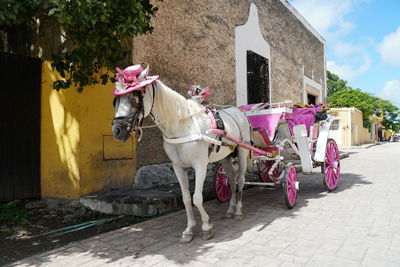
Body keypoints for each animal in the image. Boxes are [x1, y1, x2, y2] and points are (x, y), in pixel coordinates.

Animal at [112, 65, 250, 243]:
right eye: (115, 101)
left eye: (135, 98)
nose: (117, 131)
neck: (182, 125)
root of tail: (238, 111)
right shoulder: (178, 167)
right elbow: (186, 198)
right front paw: (189, 230)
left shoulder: (200, 165)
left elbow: (197, 198)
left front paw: (207, 227)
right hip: (226, 157)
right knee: (232, 181)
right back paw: (230, 210)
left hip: (243, 151)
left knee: (240, 180)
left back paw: (238, 211)